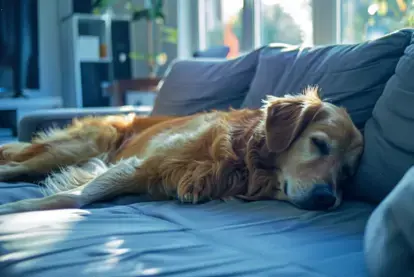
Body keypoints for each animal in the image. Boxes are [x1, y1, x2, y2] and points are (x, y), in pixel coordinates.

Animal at [0, 87, 362, 213]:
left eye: (347, 173)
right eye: (318, 143)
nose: (326, 199)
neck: (238, 158)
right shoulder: (137, 164)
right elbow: (73, 197)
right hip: (76, 147)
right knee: (14, 165)